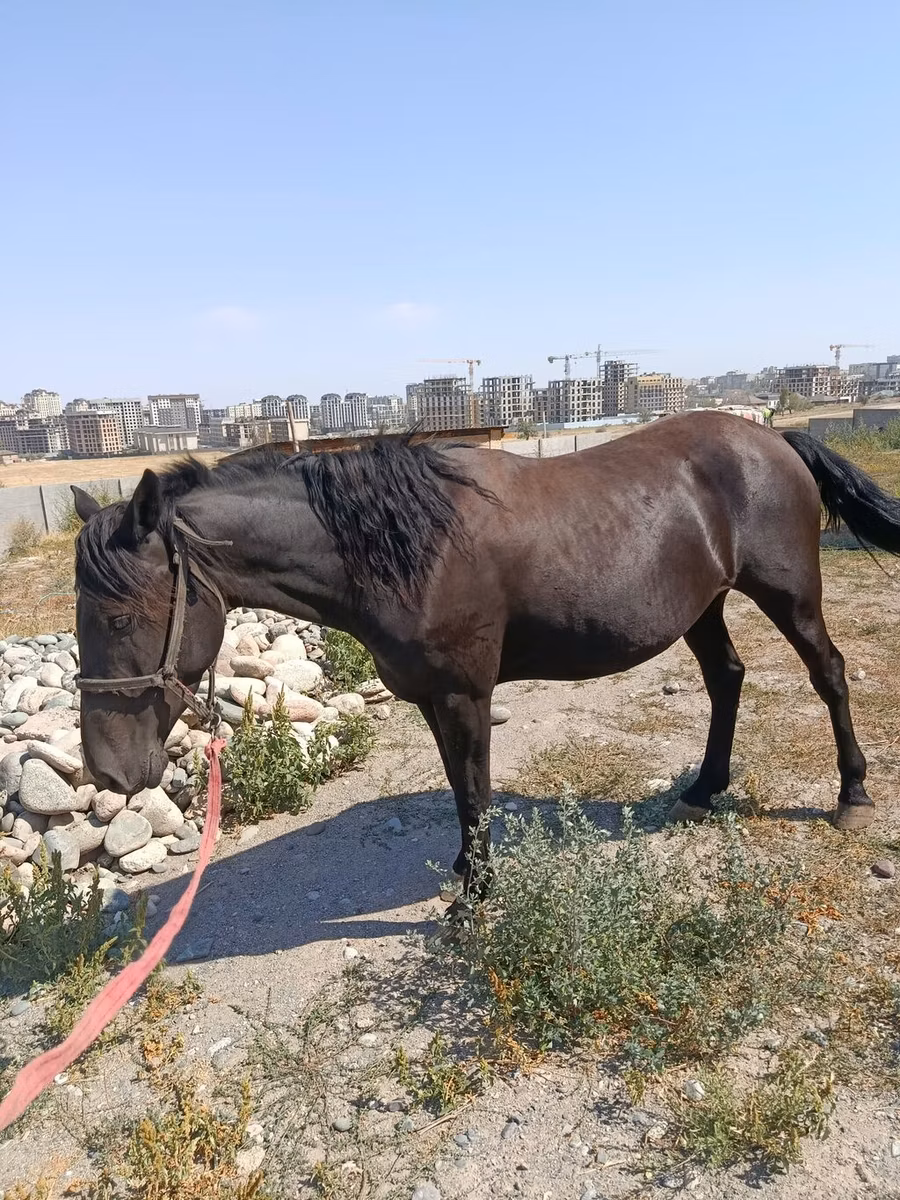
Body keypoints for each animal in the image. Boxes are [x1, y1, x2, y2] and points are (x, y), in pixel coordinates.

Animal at [71, 411, 900, 892]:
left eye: (118, 617)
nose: (107, 771)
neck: (407, 548)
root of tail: (773, 437)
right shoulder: (434, 699)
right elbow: (458, 787)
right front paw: (467, 875)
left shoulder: (467, 695)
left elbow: (475, 791)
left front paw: (476, 894)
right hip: (704, 605)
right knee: (728, 679)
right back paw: (704, 788)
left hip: (789, 596)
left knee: (829, 674)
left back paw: (852, 794)